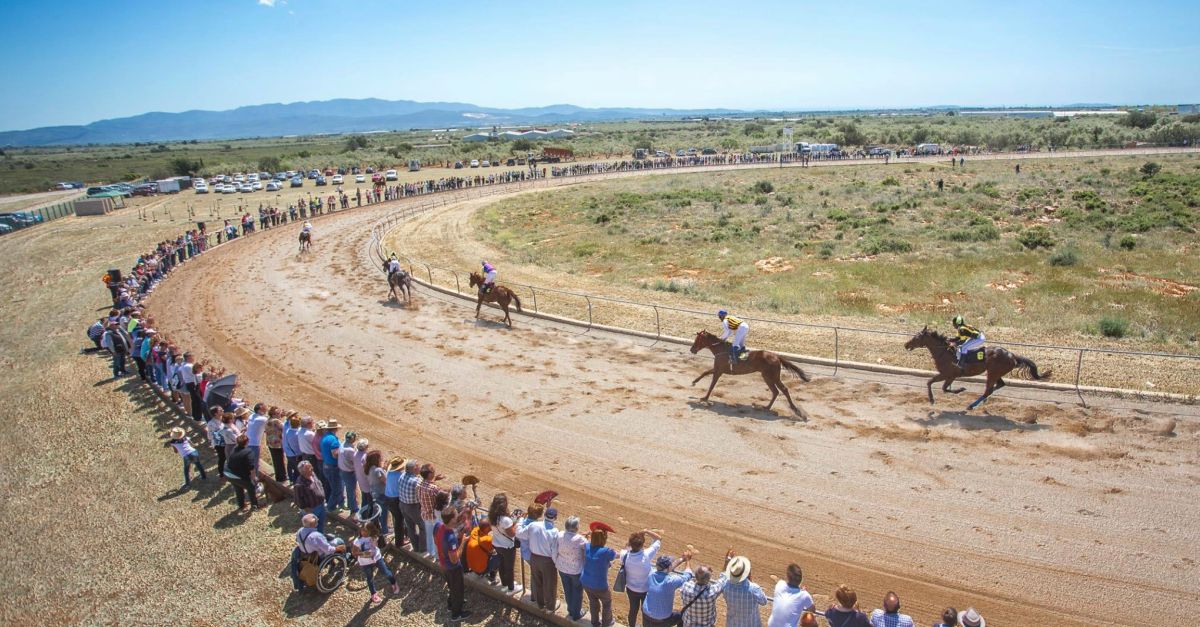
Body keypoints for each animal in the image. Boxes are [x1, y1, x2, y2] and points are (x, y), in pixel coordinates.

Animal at [902, 324, 1051, 408]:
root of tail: (1012, 355)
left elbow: (939, 386)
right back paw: (982, 401)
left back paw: (971, 405)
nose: (906, 344)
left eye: (916, 337)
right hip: (995, 372)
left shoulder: (949, 374)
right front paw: (934, 399)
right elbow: (933, 383)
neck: (944, 352)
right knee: (998, 386)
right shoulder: (947, 375)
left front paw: (958, 390)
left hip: (993, 372)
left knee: (988, 390)